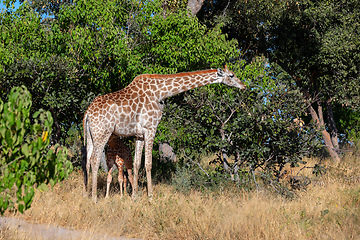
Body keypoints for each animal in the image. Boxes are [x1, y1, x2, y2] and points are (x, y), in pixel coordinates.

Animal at [82, 64, 245, 202]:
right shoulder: (151, 128)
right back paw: (94, 198)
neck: (160, 93)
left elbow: (136, 163)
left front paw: (134, 196)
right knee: (95, 160)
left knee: (87, 161)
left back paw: (86, 193)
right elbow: (148, 164)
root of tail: (87, 114)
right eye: (232, 75)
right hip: (103, 133)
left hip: (91, 135)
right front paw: (150, 197)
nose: (243, 86)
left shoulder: (139, 134)